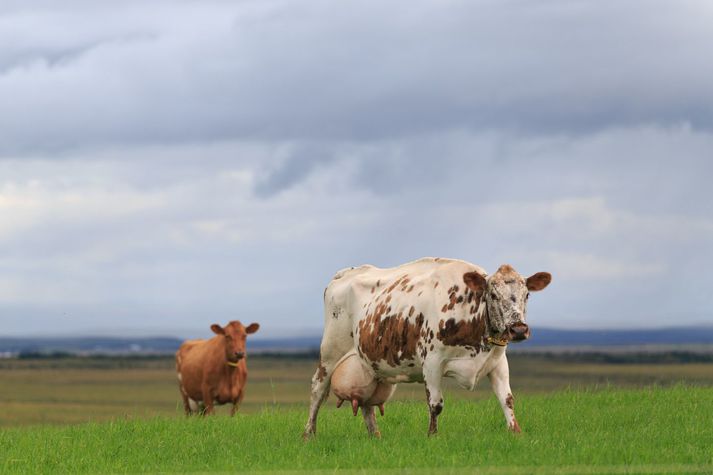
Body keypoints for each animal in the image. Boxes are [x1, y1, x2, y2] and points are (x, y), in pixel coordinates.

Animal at [300, 258, 552, 440]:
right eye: (493, 294)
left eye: (527, 295)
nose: (518, 329)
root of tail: (345, 272)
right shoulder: (432, 362)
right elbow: (436, 404)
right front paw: (432, 436)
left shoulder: (498, 362)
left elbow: (506, 398)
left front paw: (516, 432)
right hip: (330, 352)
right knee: (318, 389)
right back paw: (309, 433)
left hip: (370, 363)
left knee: (366, 403)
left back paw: (375, 437)